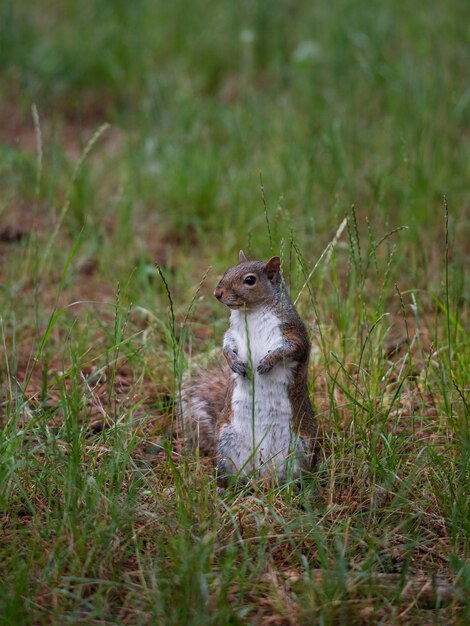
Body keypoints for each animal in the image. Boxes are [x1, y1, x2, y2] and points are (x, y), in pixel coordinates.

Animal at [176, 249, 316, 482]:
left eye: (250, 280)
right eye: (228, 270)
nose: (217, 293)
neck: (252, 312)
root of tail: (262, 472)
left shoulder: (293, 332)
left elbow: (290, 349)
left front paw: (268, 362)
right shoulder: (233, 334)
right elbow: (226, 346)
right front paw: (234, 364)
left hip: (301, 447)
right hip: (226, 441)